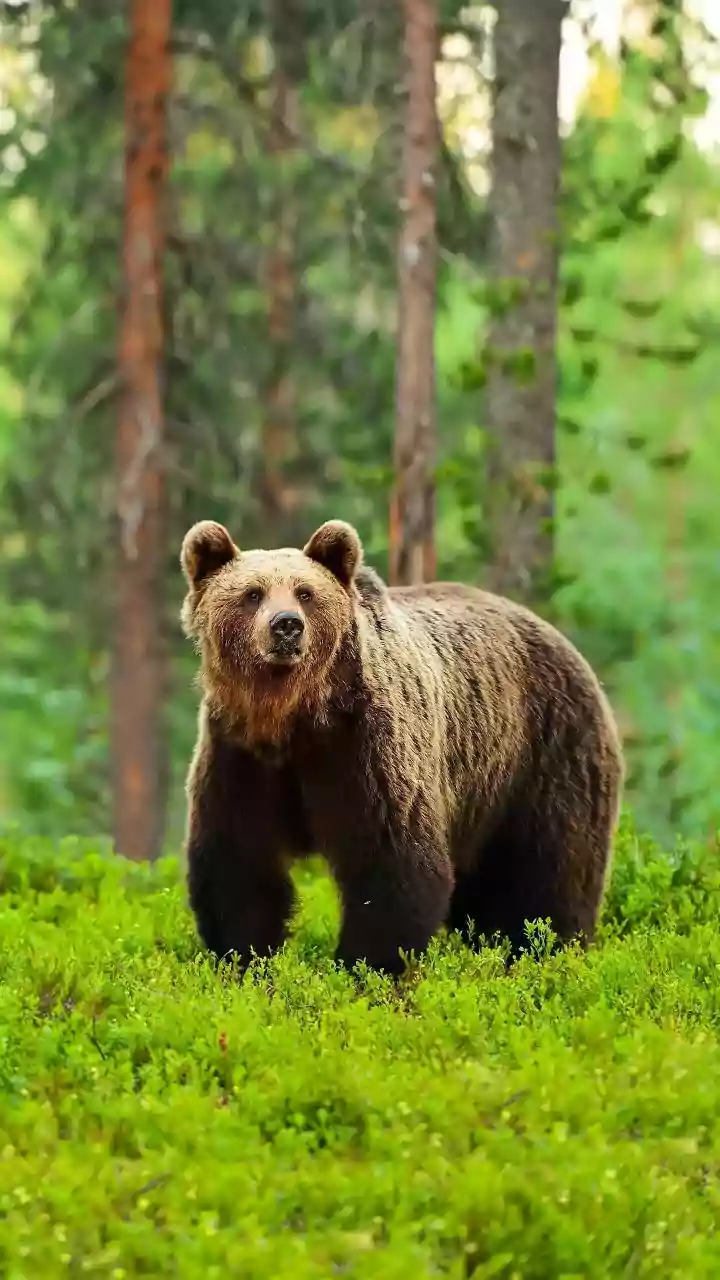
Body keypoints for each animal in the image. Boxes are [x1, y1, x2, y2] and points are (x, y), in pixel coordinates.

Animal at [180, 517, 623, 975]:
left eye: (306, 593)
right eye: (252, 594)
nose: (287, 625)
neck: (293, 719)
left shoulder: (366, 749)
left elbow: (391, 861)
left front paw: (365, 967)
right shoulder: (240, 756)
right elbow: (239, 865)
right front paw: (244, 959)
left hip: (545, 755)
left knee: (550, 874)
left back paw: (547, 951)